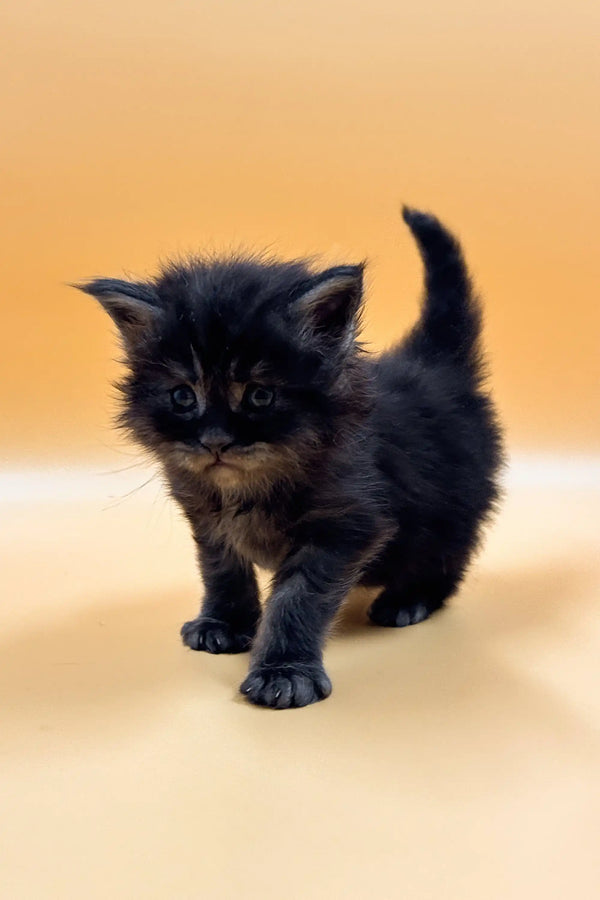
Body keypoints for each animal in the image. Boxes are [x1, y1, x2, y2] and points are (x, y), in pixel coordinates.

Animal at [77, 209, 504, 712]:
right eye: (183, 396)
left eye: (260, 396)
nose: (215, 441)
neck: (249, 488)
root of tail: (435, 365)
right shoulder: (206, 518)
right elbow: (221, 569)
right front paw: (225, 622)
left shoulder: (346, 524)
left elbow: (298, 599)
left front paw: (284, 670)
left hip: (451, 508)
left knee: (446, 555)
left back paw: (409, 599)